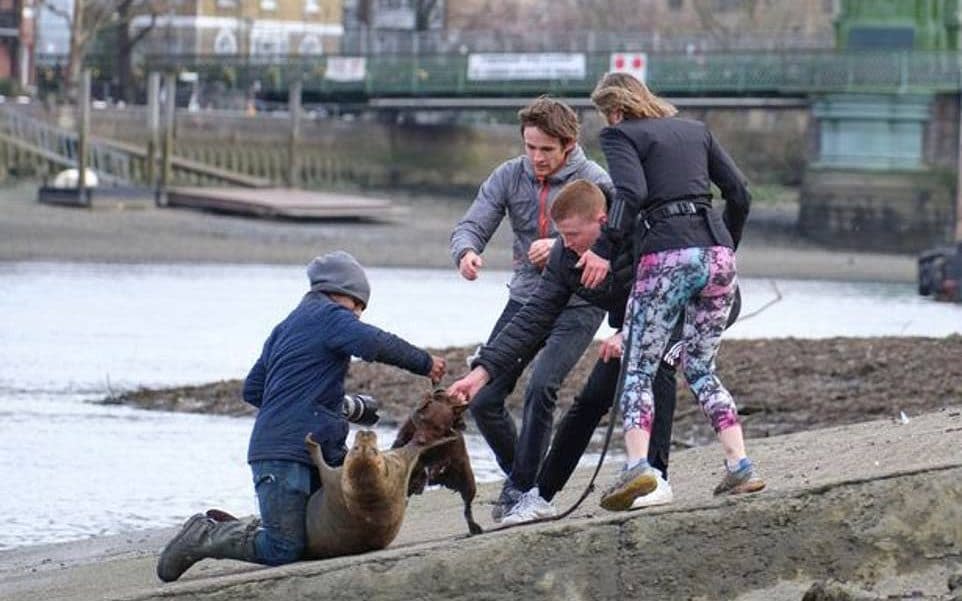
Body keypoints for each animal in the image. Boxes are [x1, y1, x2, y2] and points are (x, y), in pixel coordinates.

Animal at [390, 390, 480, 536]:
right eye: (423, 419)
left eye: (438, 428)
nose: (420, 440)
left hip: (467, 480)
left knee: (467, 507)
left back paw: (473, 527)